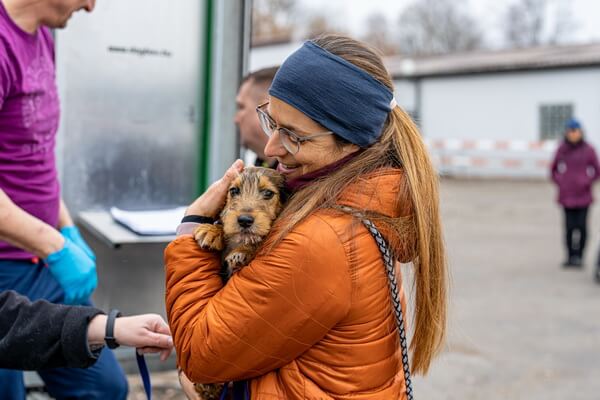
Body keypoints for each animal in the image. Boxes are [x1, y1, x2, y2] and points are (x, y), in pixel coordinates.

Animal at [180, 166, 285, 400]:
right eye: (234, 190)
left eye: (268, 193)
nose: (244, 220)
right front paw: (212, 232)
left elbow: (255, 243)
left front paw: (243, 252)